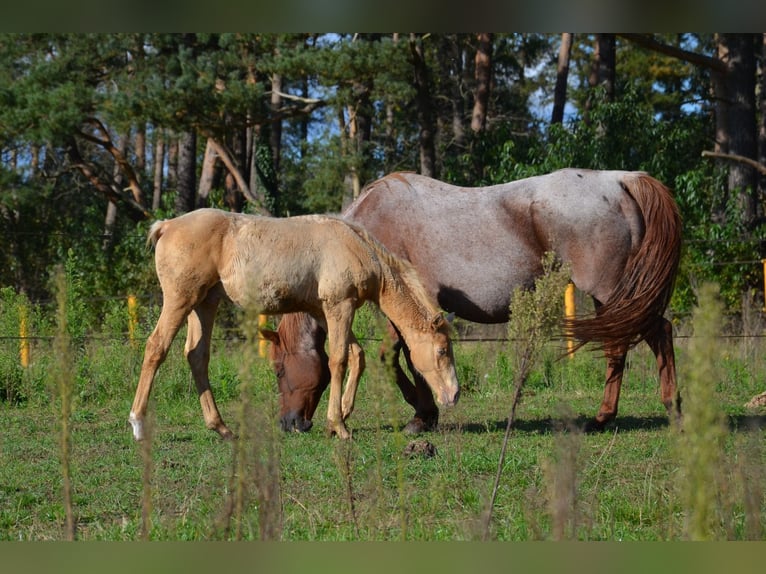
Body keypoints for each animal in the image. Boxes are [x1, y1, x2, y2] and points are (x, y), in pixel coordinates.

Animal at [129, 209, 460, 444]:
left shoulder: (326, 310)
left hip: (204, 305)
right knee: (156, 347)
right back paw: (138, 424)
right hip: (180, 300)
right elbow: (338, 359)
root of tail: (167, 225)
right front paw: (339, 427)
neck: (354, 246)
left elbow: (356, 355)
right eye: (443, 351)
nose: (454, 396)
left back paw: (222, 428)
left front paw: (342, 414)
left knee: (197, 356)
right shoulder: (339, 306)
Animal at [266, 171, 684, 436]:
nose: (289, 424)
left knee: (650, 335)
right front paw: (427, 411)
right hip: (610, 299)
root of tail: (620, 180)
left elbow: (399, 358)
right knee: (626, 343)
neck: (367, 228)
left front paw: (423, 415)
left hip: (611, 291)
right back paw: (620, 414)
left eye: (279, 370)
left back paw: (653, 410)